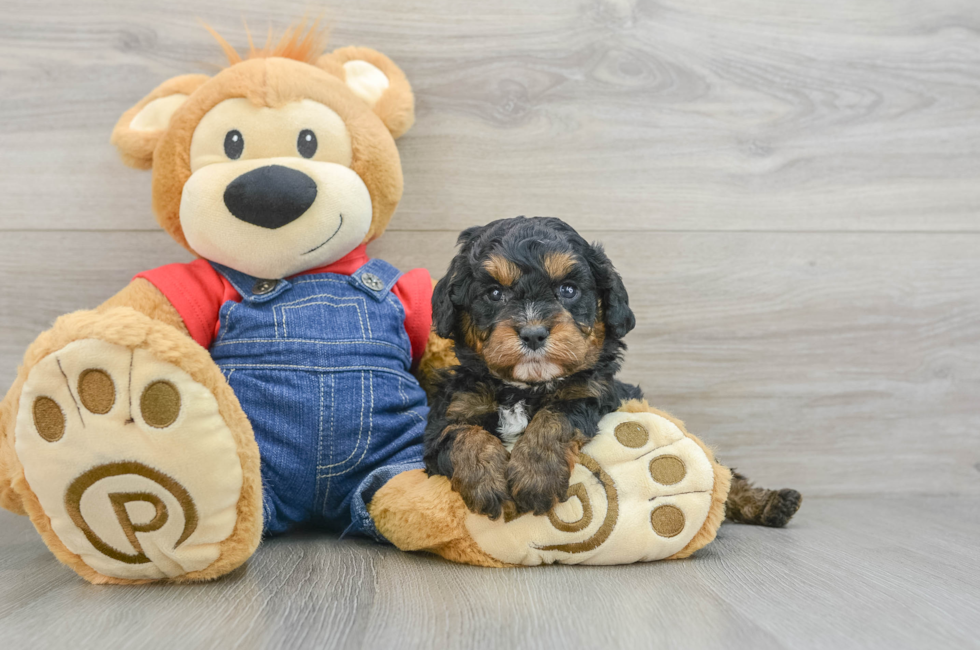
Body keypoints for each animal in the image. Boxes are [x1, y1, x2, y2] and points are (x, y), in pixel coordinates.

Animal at [424, 216, 800, 528]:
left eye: (568, 290)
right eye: (494, 293)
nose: (533, 333)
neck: (525, 388)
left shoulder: (591, 394)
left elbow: (555, 417)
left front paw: (535, 475)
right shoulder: (451, 411)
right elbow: (463, 434)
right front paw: (486, 480)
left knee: (724, 475)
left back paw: (771, 503)